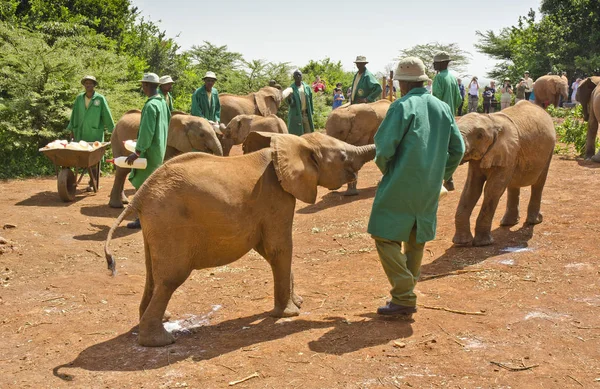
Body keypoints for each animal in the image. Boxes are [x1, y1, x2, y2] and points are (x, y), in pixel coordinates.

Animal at [103, 131, 376, 346]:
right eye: (342, 157)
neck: (295, 143)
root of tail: (141, 194)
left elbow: (268, 249)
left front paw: (297, 302)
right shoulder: (276, 197)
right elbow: (279, 248)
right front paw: (289, 314)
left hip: (157, 227)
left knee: (153, 276)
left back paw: (163, 321)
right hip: (170, 222)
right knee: (171, 278)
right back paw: (159, 342)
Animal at [454, 100, 556, 246]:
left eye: (480, 136)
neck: (492, 120)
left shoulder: (509, 151)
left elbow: (492, 189)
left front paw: (483, 244)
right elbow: (471, 189)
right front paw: (461, 243)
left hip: (549, 152)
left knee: (538, 184)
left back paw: (534, 221)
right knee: (513, 185)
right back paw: (507, 223)